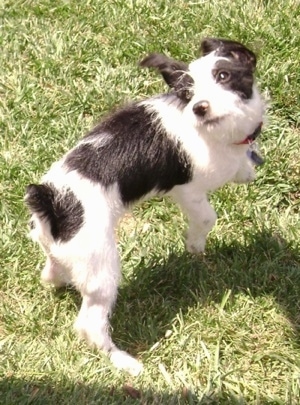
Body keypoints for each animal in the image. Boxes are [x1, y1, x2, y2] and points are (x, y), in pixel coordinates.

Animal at [25, 38, 264, 376]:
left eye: (224, 76)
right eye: (188, 94)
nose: (200, 107)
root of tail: (52, 201)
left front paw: (247, 169)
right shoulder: (188, 189)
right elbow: (207, 217)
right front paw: (196, 247)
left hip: (65, 251)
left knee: (52, 270)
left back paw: (57, 278)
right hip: (101, 266)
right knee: (90, 325)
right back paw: (125, 361)